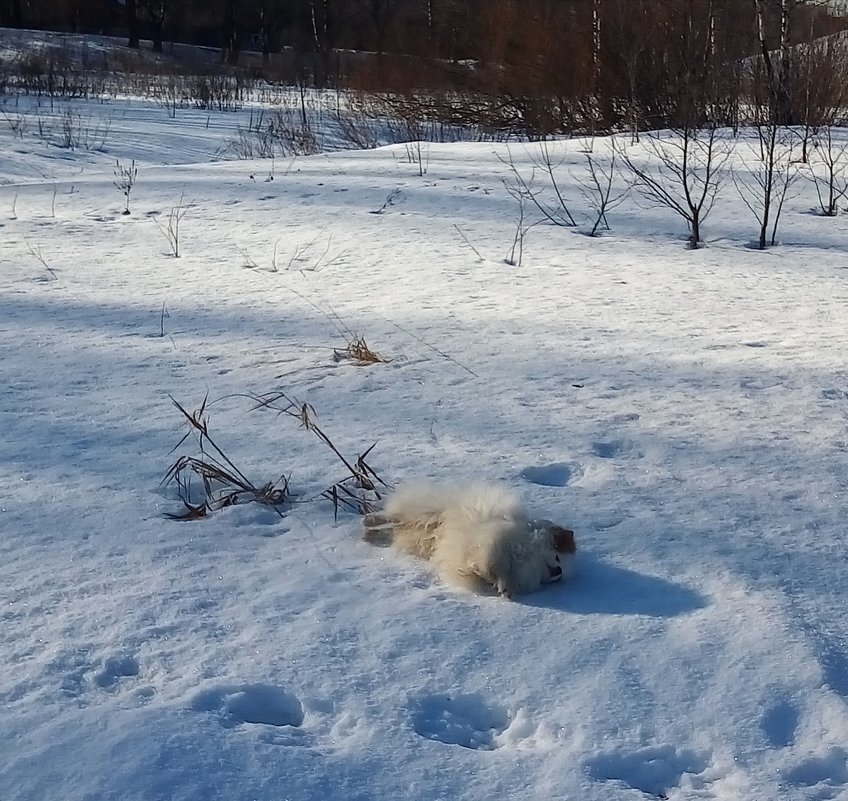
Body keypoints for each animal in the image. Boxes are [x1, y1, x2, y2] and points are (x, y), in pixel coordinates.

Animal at [364, 482, 576, 592]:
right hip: (426, 513)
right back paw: (369, 521)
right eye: (557, 557)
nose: (559, 571)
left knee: (392, 530)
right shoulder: (493, 544)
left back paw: (371, 535)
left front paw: (500, 585)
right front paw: (489, 576)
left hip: (414, 536)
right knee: (392, 517)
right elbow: (492, 563)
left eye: (559, 576)